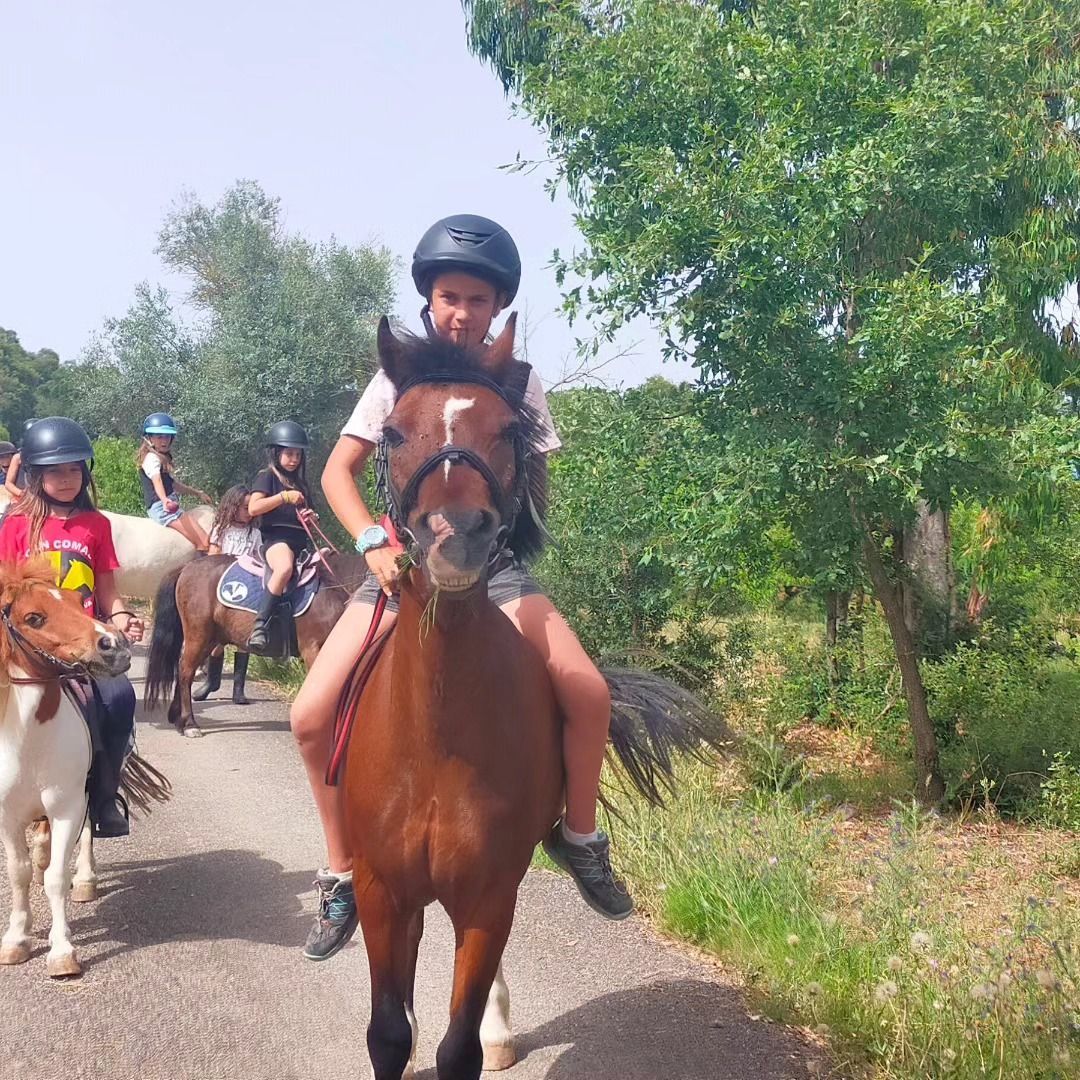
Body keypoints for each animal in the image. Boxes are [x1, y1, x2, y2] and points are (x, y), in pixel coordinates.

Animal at [0, 558, 131, 977]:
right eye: (34, 617)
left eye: (78, 602)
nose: (114, 644)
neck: (29, 739)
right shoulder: (7, 816)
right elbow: (20, 872)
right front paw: (17, 940)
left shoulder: (66, 808)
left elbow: (56, 877)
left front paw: (62, 951)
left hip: (89, 792)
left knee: (89, 829)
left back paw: (86, 880)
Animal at [144, 551, 367, 737]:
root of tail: (187, 567)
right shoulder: (314, 650)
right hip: (198, 636)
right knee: (185, 672)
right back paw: (190, 724)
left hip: (210, 638)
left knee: (183, 670)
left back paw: (178, 720)